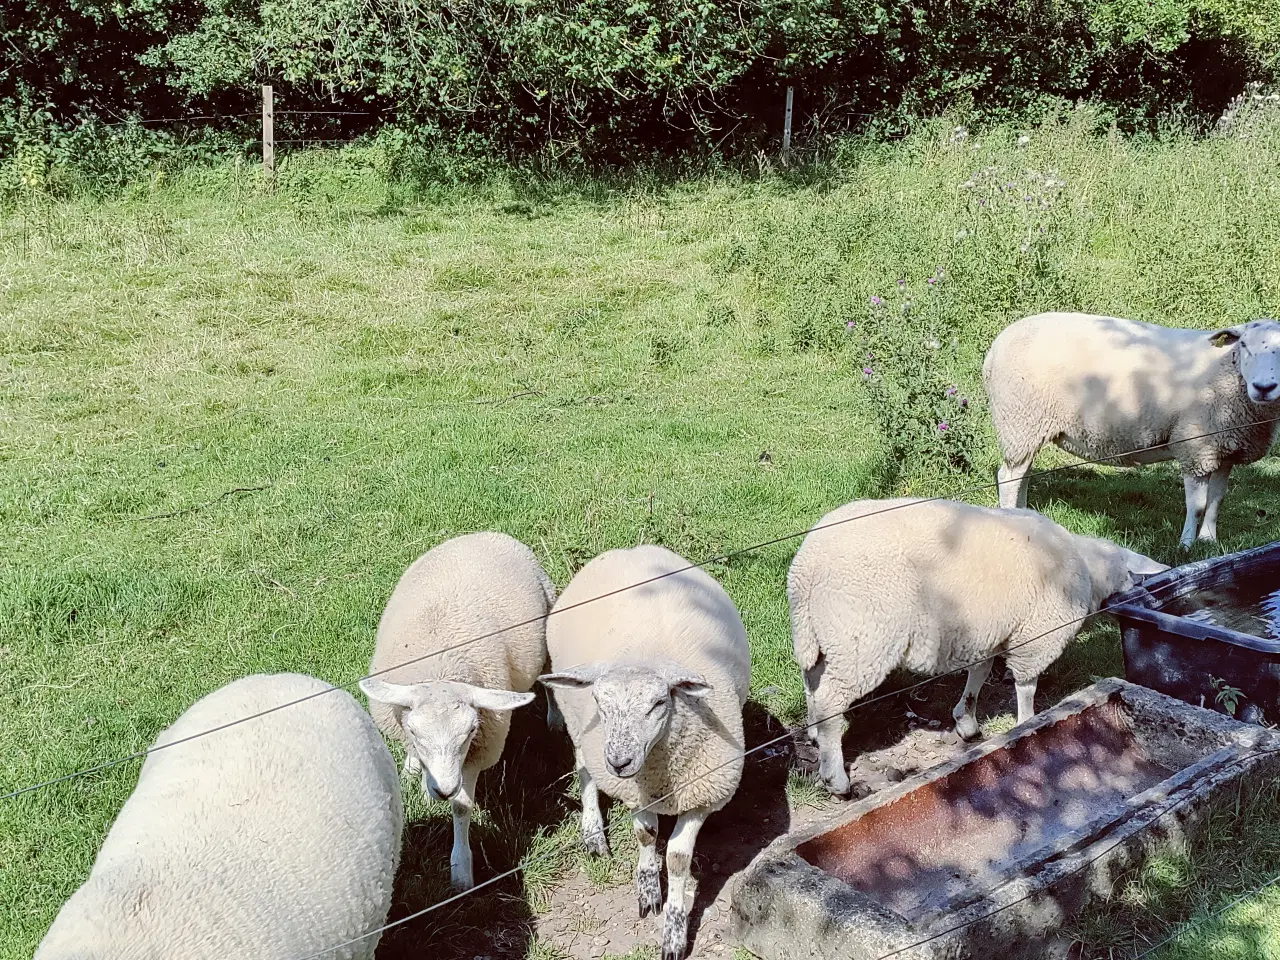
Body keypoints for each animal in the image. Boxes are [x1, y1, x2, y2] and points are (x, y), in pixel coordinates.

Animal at [363, 529, 558, 890]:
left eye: (469, 731)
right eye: (414, 731)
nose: (444, 789)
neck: (441, 667)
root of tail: (485, 533)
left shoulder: (478, 752)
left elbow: (462, 808)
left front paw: (461, 869)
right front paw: (419, 777)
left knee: (549, 670)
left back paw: (555, 719)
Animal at [540, 545, 747, 960]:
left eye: (658, 703)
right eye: (600, 702)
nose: (619, 762)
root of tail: (631, 549)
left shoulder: (703, 794)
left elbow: (678, 858)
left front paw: (673, 930)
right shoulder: (634, 790)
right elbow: (646, 834)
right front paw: (648, 888)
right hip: (577, 727)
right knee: (584, 770)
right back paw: (593, 832)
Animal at [783, 499, 1167, 798]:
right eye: (1132, 575)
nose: (1147, 598)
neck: (1088, 569)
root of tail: (806, 566)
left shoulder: (989, 633)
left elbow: (978, 673)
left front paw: (965, 721)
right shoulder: (1035, 638)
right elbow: (1026, 687)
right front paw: (1027, 725)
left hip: (824, 636)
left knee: (813, 684)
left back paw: (816, 735)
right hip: (862, 640)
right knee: (830, 699)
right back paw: (836, 778)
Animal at [983, 312, 1280, 545]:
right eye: (1244, 345)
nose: (1264, 387)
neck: (1225, 371)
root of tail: (995, 347)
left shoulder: (1223, 448)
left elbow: (1217, 501)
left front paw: (1208, 541)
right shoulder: (1194, 447)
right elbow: (1196, 505)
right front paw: (1186, 545)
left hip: (1027, 432)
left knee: (1022, 475)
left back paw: (1024, 516)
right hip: (1020, 422)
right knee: (1008, 477)